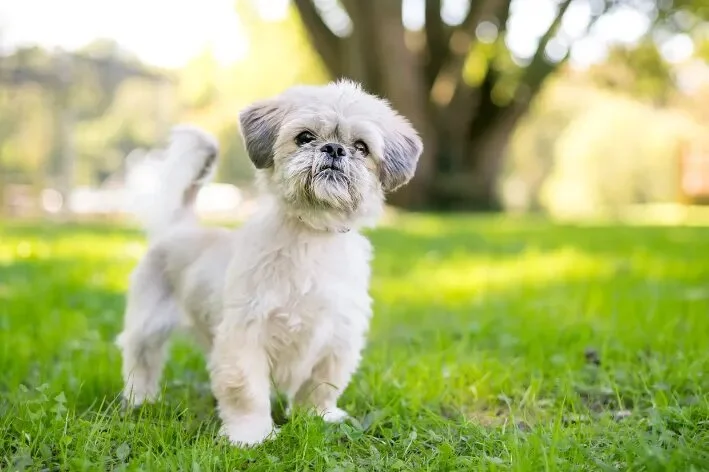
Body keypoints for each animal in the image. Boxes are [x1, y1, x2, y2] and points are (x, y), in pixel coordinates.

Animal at [117, 80, 420, 446]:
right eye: (305, 137)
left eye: (361, 147)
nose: (334, 149)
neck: (311, 234)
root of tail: (182, 226)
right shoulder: (245, 335)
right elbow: (246, 391)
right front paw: (250, 436)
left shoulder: (337, 338)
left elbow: (320, 386)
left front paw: (318, 418)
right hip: (149, 324)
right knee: (141, 360)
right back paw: (140, 400)